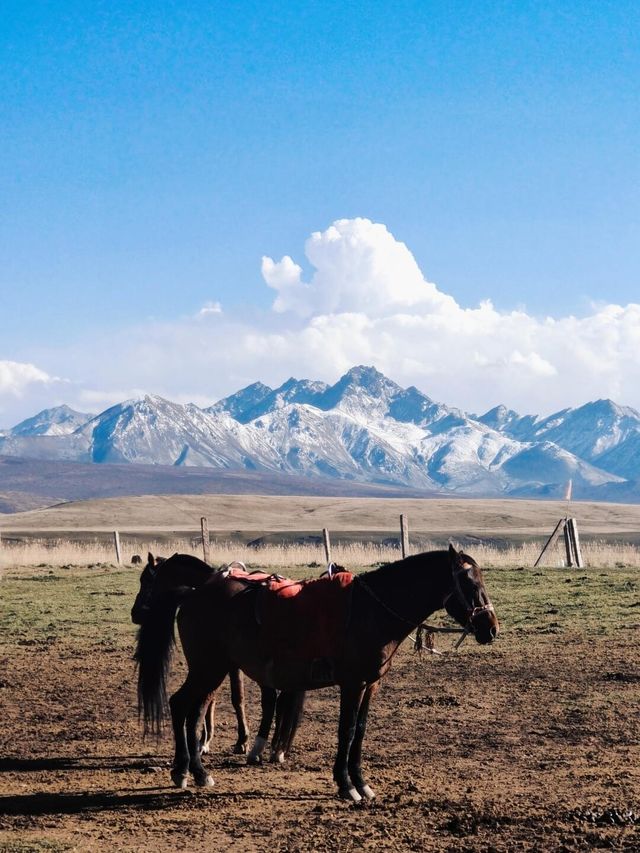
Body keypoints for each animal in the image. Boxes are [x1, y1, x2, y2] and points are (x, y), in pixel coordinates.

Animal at [135, 544, 498, 800]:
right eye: (468, 581)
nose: (489, 627)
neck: (372, 611)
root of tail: (194, 594)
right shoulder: (352, 684)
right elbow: (347, 731)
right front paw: (347, 786)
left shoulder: (371, 685)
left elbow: (360, 731)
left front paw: (361, 784)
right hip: (209, 668)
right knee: (183, 706)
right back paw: (189, 771)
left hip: (213, 669)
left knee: (190, 709)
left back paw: (192, 772)